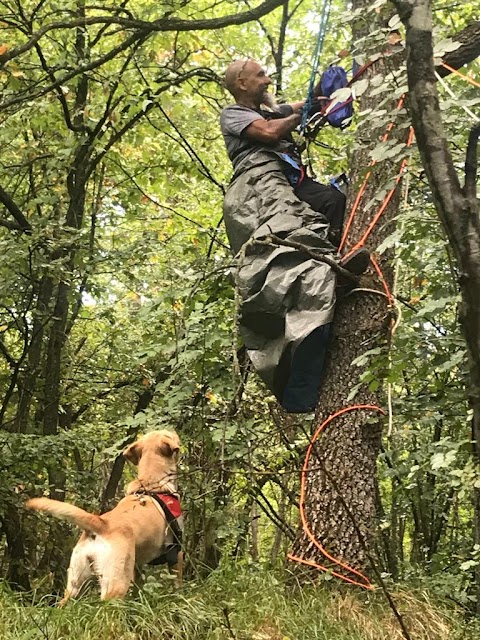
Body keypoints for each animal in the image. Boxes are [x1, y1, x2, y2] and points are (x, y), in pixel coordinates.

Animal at [27, 430, 183, 600]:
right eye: (170, 434)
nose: (174, 430)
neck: (151, 482)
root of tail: (100, 523)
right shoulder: (177, 552)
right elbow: (177, 583)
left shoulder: (138, 564)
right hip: (115, 584)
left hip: (76, 585)